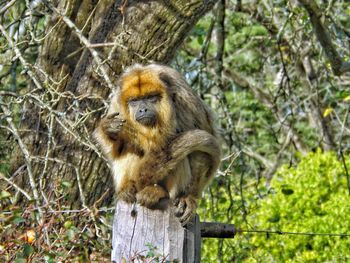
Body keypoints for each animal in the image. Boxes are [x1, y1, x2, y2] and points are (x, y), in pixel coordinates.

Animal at [95, 64, 221, 225]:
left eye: (150, 97)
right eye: (134, 101)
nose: (142, 109)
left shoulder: (186, 101)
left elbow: (203, 150)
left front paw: (189, 198)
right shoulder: (116, 105)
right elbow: (116, 150)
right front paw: (107, 129)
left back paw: (159, 192)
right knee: (130, 147)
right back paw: (127, 189)